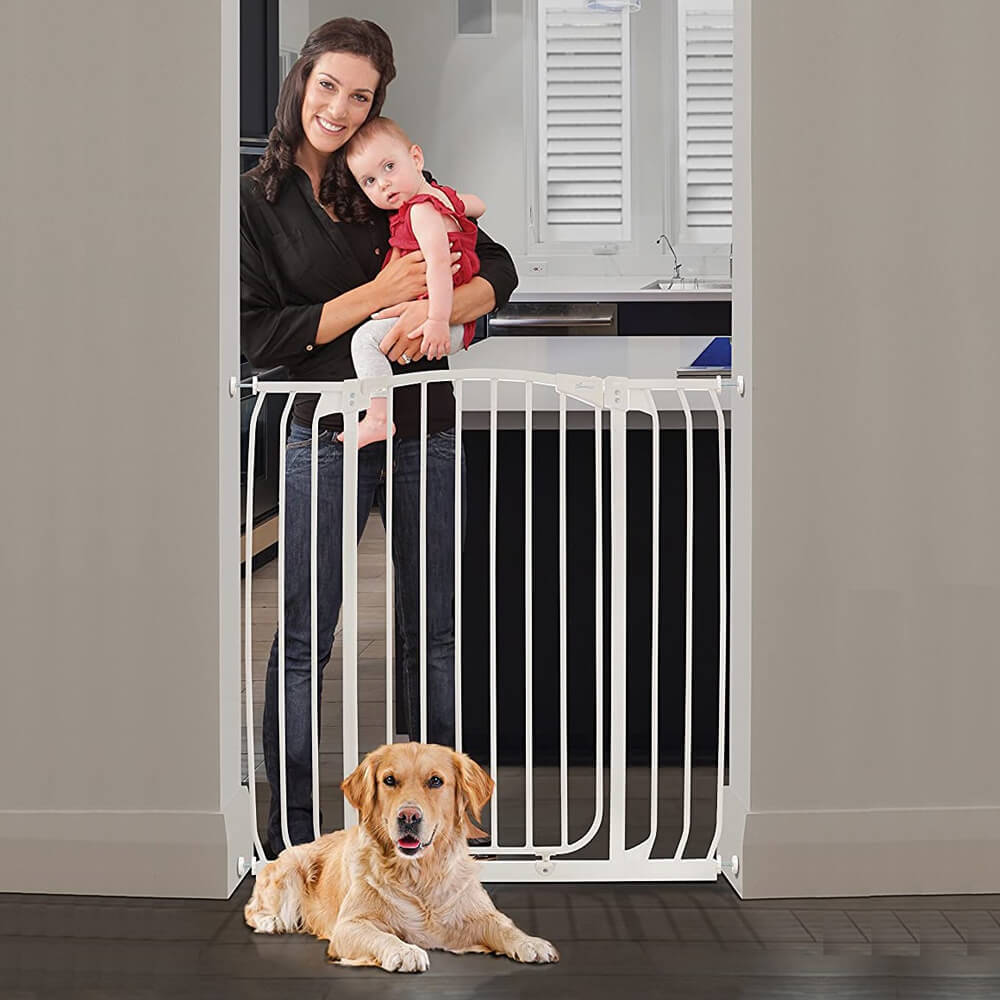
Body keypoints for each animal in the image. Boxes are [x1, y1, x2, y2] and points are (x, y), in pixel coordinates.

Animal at [244, 742, 559, 972]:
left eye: (435, 781)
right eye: (389, 780)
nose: (408, 816)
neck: (418, 873)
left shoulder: (474, 913)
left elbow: (503, 926)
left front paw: (532, 943)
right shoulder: (349, 925)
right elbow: (381, 935)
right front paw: (404, 951)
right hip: (290, 871)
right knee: (254, 909)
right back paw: (271, 921)